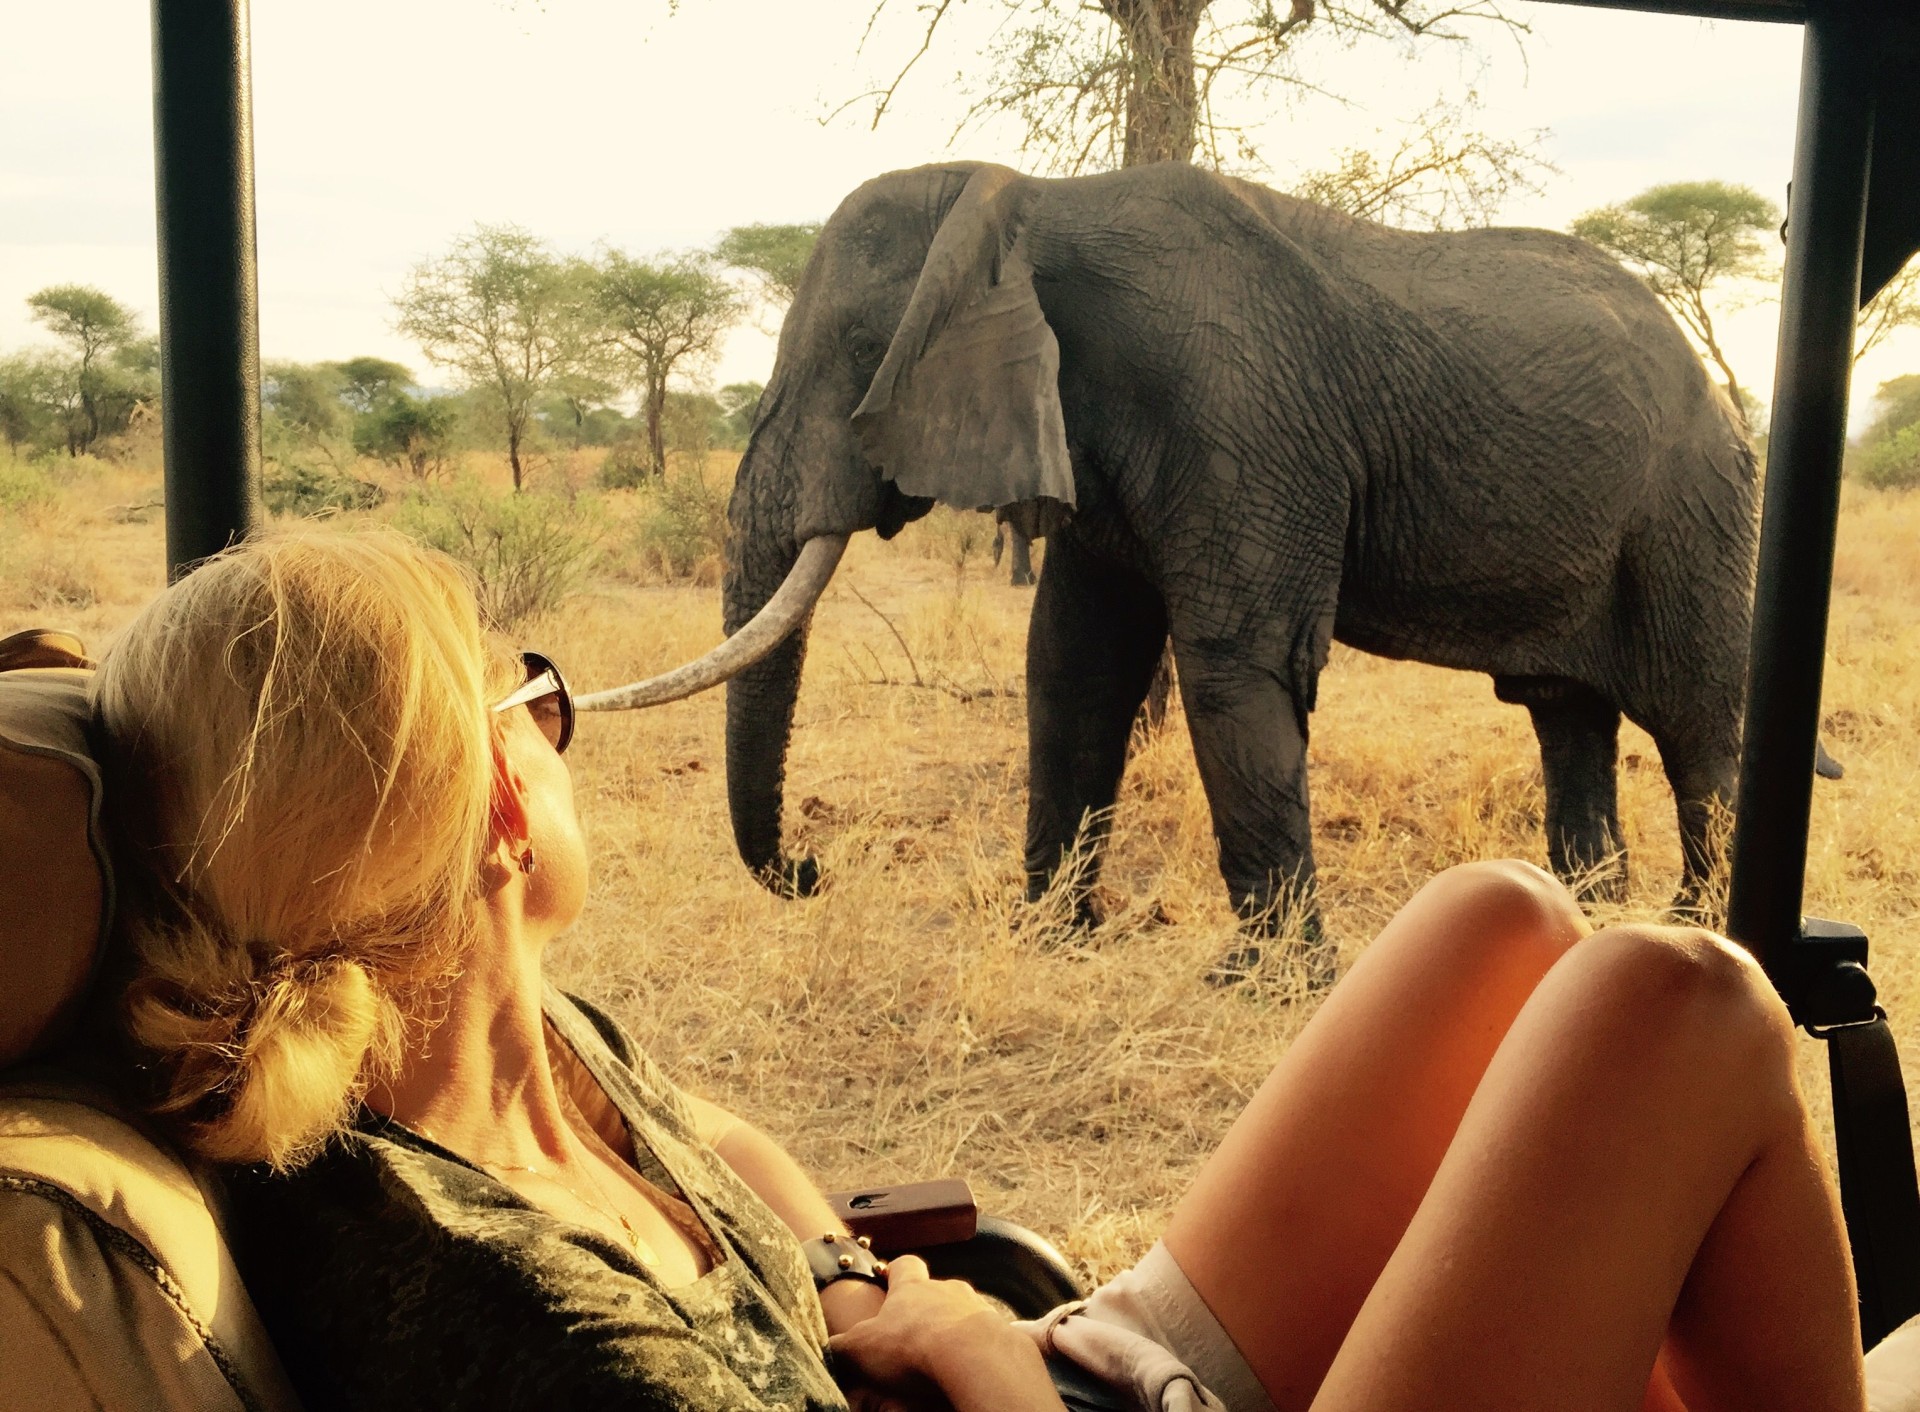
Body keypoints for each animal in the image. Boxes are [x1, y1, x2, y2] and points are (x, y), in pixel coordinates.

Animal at [579, 157, 1758, 972]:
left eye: (864, 354)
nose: (815, 869)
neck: (1030, 204)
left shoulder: (1233, 409)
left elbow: (1235, 662)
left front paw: (1264, 984)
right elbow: (1074, 666)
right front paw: (1051, 941)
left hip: (1693, 508)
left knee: (1699, 726)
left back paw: (1691, 933)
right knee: (1567, 714)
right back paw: (1591, 920)